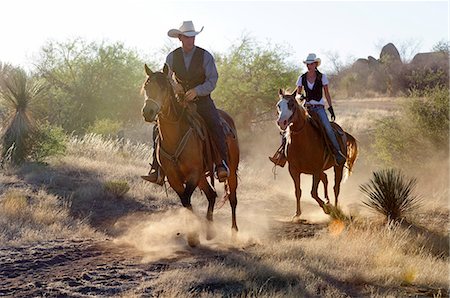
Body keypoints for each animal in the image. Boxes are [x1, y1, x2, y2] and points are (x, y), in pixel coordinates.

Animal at [142, 64, 239, 246]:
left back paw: (234, 233)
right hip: (202, 177)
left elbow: (187, 198)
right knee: (212, 195)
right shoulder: (174, 177)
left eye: (164, 88)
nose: (148, 112)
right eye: (146, 87)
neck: (175, 136)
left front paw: (194, 234)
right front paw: (193, 235)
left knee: (232, 199)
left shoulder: (193, 174)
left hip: (230, 172)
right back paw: (210, 231)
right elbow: (185, 201)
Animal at [274, 89, 358, 219]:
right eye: (278, 105)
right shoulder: (293, 170)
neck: (303, 141)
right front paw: (297, 214)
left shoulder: (316, 170)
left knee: (336, 187)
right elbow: (298, 191)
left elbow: (313, 192)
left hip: (338, 166)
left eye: (291, 104)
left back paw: (335, 207)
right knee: (326, 178)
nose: (281, 122)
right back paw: (327, 201)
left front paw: (327, 209)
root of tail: (343, 132)